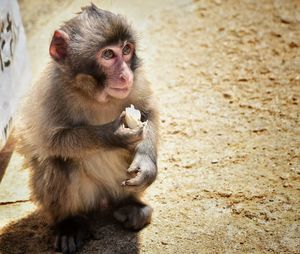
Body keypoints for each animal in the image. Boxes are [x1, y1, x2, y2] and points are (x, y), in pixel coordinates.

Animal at [17, 4, 159, 254]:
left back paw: (130, 205)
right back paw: (70, 222)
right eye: (108, 54)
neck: (95, 95)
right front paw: (113, 134)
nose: (125, 75)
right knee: (58, 162)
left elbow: (147, 113)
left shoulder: (138, 78)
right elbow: (50, 141)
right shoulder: (51, 91)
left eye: (126, 49)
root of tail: (102, 200)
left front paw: (146, 164)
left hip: (117, 187)